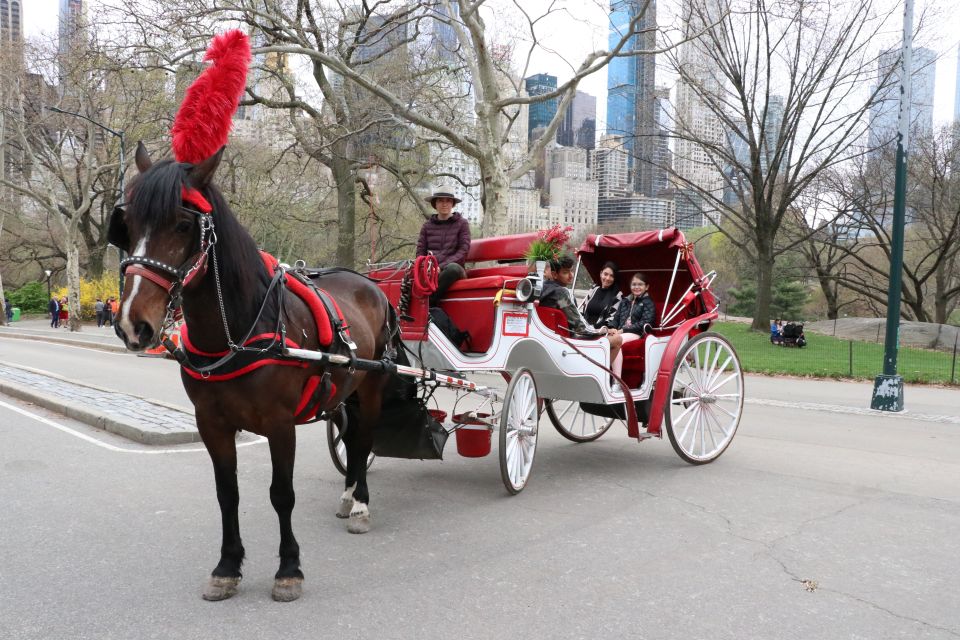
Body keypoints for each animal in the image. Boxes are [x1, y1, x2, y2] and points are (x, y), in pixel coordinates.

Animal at [110, 142, 396, 604]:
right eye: (127, 225)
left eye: (183, 225)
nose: (133, 325)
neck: (238, 333)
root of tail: (370, 283)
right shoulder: (211, 423)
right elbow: (227, 494)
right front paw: (227, 566)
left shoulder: (280, 424)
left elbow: (282, 494)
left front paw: (289, 569)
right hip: (343, 391)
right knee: (352, 438)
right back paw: (348, 495)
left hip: (370, 387)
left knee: (364, 438)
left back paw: (361, 504)